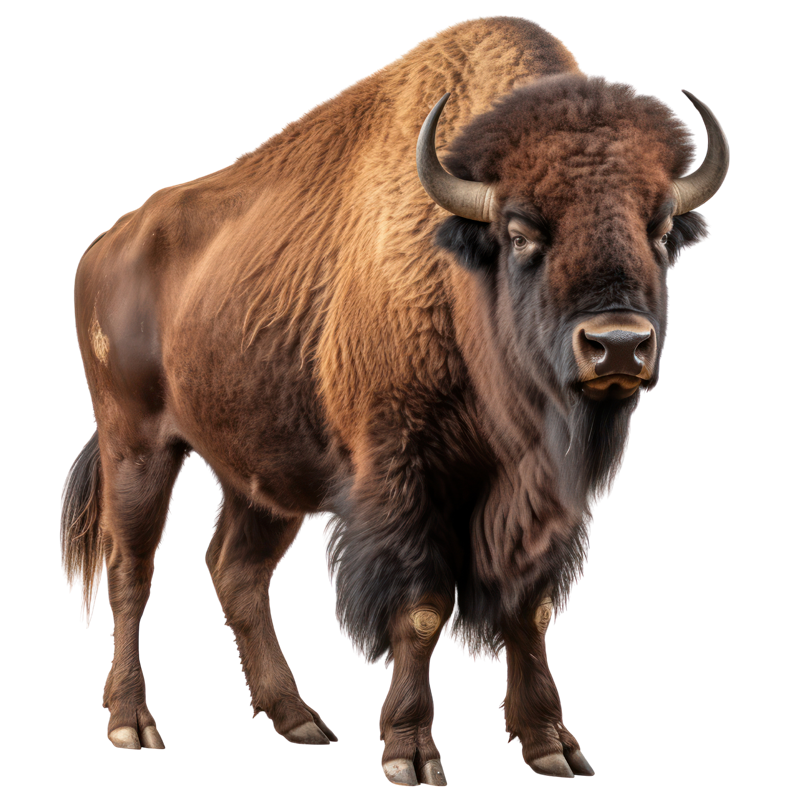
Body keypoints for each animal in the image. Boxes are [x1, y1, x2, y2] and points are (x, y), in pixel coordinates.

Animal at [62, 15, 728, 782]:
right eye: (521, 232)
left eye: (661, 230)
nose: (617, 345)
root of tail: (106, 247)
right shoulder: (403, 477)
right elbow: (421, 609)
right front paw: (411, 755)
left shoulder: (546, 500)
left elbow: (530, 610)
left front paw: (554, 749)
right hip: (137, 446)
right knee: (130, 567)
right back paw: (132, 724)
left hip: (261, 478)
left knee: (237, 574)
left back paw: (302, 720)